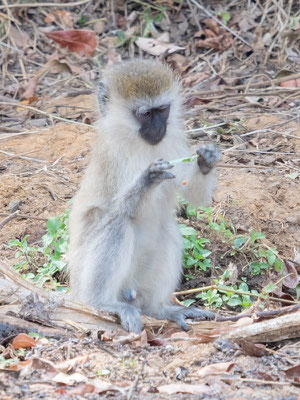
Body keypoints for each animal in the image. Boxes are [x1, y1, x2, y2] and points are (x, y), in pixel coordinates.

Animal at [69, 58, 221, 332]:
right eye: (145, 114)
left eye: (162, 110)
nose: (159, 128)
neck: (139, 143)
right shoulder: (114, 154)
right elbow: (120, 208)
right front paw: (148, 178)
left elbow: (193, 194)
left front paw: (206, 160)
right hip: (83, 278)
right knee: (117, 222)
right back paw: (101, 302)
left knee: (168, 231)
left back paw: (160, 309)